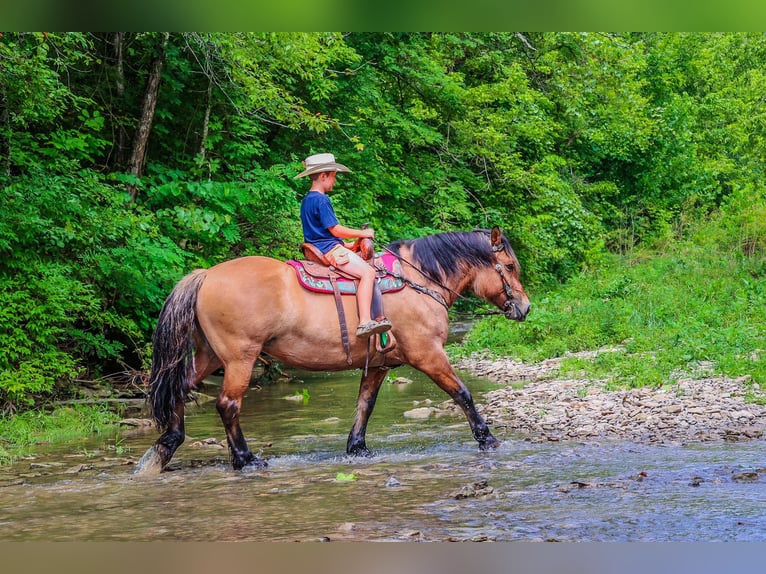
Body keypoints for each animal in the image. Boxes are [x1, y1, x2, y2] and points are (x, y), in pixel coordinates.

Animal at [135, 226, 532, 476]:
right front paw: (487, 439)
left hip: (209, 356)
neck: (419, 280)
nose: (525, 308)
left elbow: (365, 404)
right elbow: (462, 393)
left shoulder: (379, 365)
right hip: (239, 358)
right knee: (228, 404)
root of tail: (205, 275)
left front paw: (357, 448)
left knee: (179, 390)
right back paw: (246, 459)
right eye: (509, 266)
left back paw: (164, 448)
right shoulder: (428, 354)